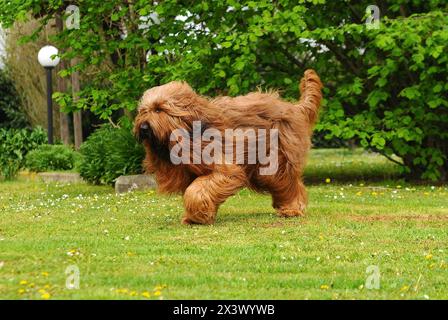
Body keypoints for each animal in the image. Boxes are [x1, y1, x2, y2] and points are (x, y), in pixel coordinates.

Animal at [133, 70, 322, 225]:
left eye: (159, 109)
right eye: (143, 111)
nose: (143, 128)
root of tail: (294, 108)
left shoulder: (224, 169)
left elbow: (197, 190)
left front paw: (198, 216)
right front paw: (199, 215)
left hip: (276, 160)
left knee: (288, 182)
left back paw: (292, 209)